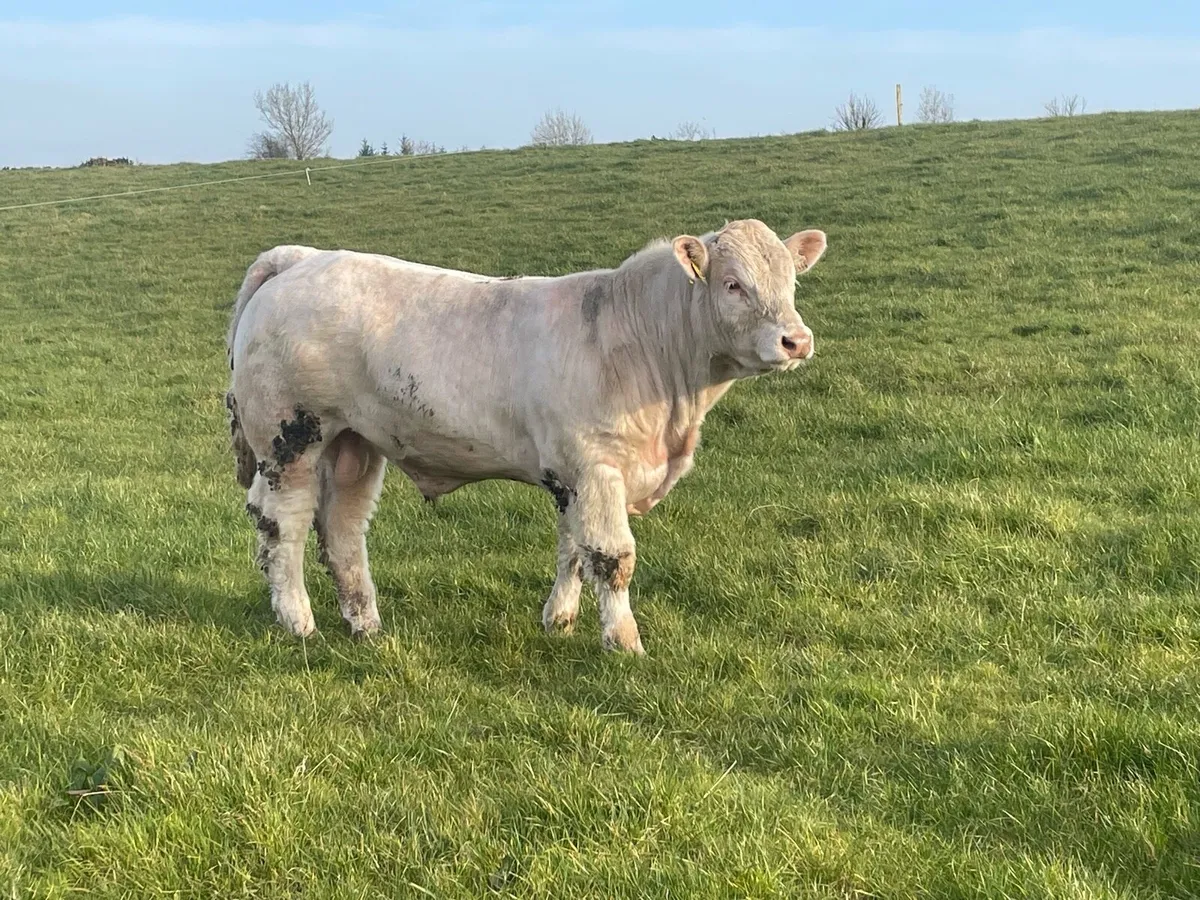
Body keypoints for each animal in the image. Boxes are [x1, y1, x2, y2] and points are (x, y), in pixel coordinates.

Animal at [225, 219, 827, 653]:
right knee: (283, 526)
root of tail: (301, 257)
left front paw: (558, 620)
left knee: (344, 528)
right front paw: (624, 642)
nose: (796, 340)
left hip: (356, 441)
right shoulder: (596, 467)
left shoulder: (570, 475)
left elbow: (573, 549)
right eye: (733, 284)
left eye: (791, 281)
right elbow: (612, 558)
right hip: (290, 437)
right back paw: (299, 623)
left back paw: (366, 624)